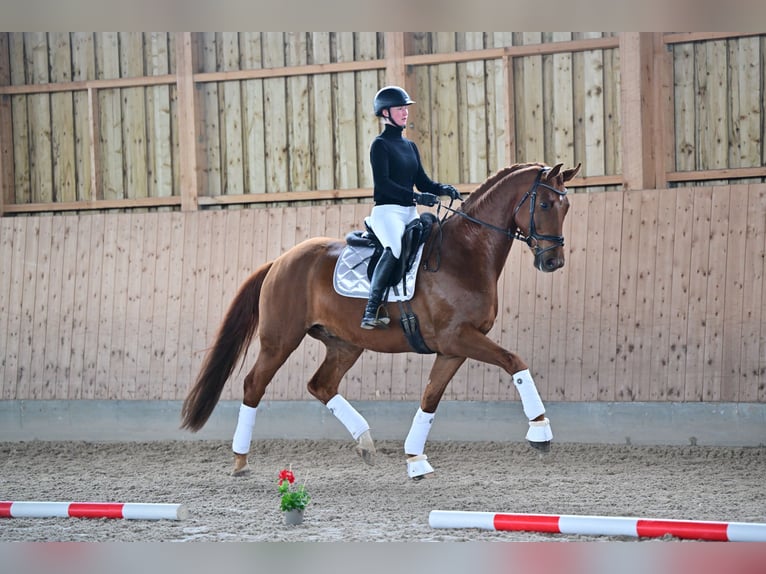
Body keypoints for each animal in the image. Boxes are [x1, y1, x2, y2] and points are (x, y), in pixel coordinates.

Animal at [182, 162, 584, 482]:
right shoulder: (458, 338)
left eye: (566, 206)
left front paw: (416, 460)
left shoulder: (452, 349)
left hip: (345, 344)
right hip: (280, 340)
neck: (465, 254)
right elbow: (515, 361)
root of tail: (280, 260)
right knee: (254, 385)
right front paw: (540, 432)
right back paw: (240, 460)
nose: (553, 261)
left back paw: (365, 443)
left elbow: (430, 398)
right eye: (544, 204)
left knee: (321, 385)